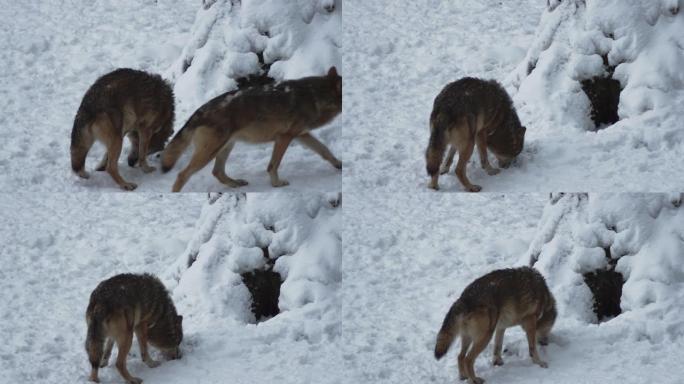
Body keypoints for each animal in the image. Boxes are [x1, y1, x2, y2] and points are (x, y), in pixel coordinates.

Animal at [161, 67, 342, 192]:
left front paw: (339, 165)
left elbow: (325, 151)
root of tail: (200, 110)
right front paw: (276, 184)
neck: (315, 96)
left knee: (217, 172)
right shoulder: (284, 137)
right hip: (210, 152)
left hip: (226, 147)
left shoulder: (301, 135)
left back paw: (235, 183)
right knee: (183, 175)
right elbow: (273, 165)